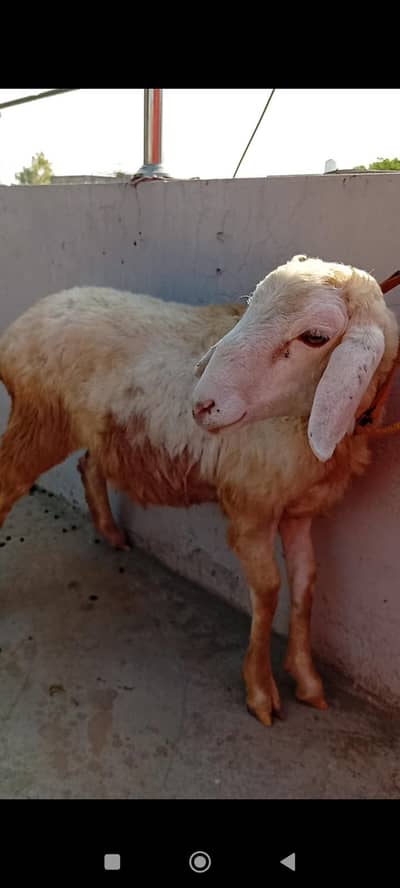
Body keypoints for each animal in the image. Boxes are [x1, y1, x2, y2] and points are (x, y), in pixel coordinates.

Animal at [0, 255, 397, 726]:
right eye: (250, 307)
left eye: (315, 337)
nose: (201, 404)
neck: (299, 422)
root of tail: (27, 320)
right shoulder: (250, 507)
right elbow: (268, 591)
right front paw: (260, 691)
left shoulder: (298, 511)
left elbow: (305, 585)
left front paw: (307, 680)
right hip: (38, 420)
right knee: (6, 485)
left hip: (97, 430)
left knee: (89, 464)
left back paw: (111, 533)